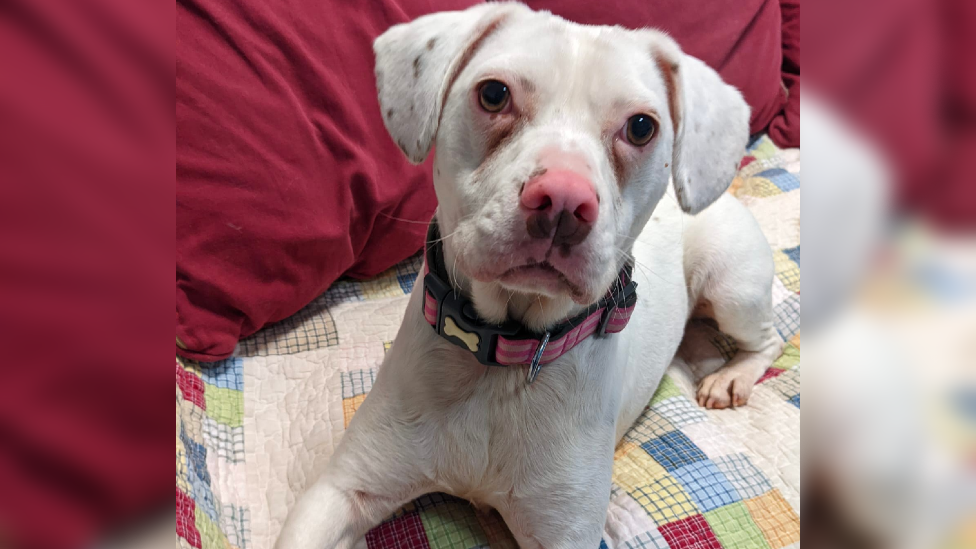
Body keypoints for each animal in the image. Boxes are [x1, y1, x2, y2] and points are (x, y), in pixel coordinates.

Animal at [272, 3, 776, 544]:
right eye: (494, 94)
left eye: (641, 126)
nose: (564, 202)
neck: (504, 354)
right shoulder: (344, 490)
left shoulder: (563, 533)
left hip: (731, 286)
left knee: (766, 339)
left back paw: (731, 377)